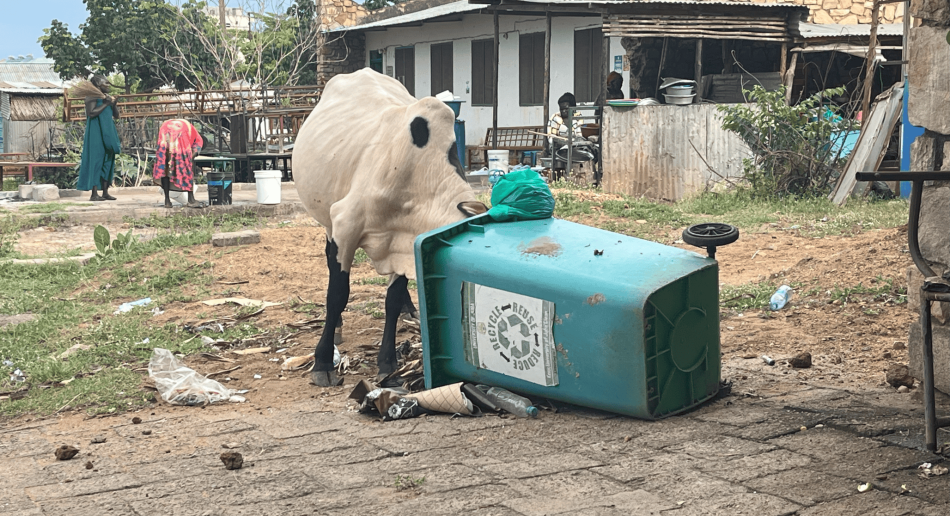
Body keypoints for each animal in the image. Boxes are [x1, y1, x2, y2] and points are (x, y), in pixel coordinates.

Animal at [294, 68, 488, 384]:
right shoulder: (345, 225)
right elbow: (337, 295)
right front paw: (322, 362)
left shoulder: (404, 240)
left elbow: (392, 300)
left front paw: (387, 363)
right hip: (326, 218)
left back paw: (411, 310)